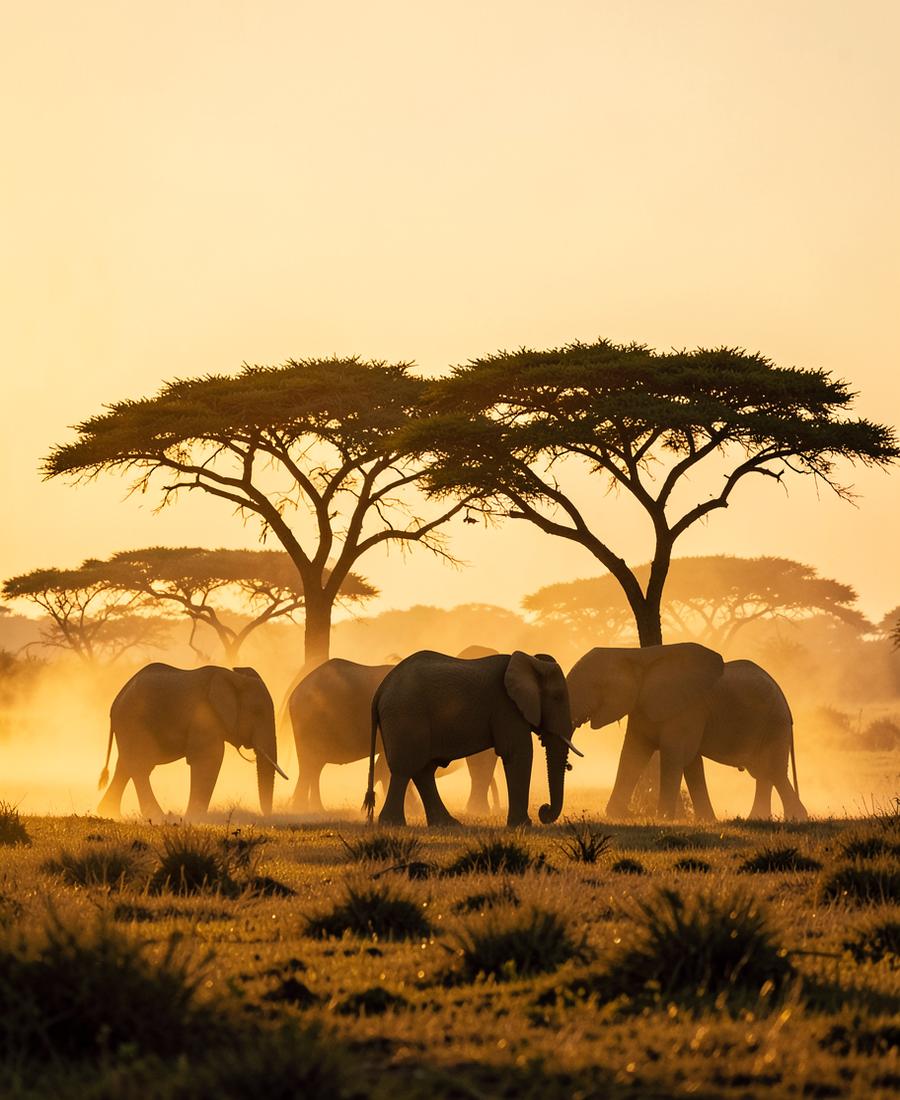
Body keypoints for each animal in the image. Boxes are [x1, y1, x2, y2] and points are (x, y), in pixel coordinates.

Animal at [97, 663, 286, 821]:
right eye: (257, 711)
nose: (266, 817)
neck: (234, 677)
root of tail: (116, 701)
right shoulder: (204, 714)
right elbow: (209, 758)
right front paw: (195, 818)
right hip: (132, 720)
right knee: (140, 766)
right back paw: (157, 817)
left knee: (126, 766)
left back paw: (109, 813)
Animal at [288, 655, 500, 815]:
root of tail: (295, 693)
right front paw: (412, 809)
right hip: (310, 722)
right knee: (310, 765)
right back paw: (302, 808)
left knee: (312, 767)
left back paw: (309, 808)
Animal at [364, 650, 581, 828]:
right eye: (557, 698)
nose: (544, 811)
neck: (532, 661)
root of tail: (381, 689)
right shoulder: (506, 706)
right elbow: (518, 753)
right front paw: (522, 825)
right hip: (406, 715)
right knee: (406, 768)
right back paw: (393, 824)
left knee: (423, 770)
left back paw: (447, 824)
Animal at [566, 644, 806, 821]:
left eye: (594, 685)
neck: (635, 655)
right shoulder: (642, 706)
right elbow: (634, 754)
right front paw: (619, 815)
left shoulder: (688, 708)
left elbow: (674, 755)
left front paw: (662, 819)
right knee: (763, 773)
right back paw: (759, 819)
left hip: (775, 723)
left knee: (772, 771)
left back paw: (794, 818)